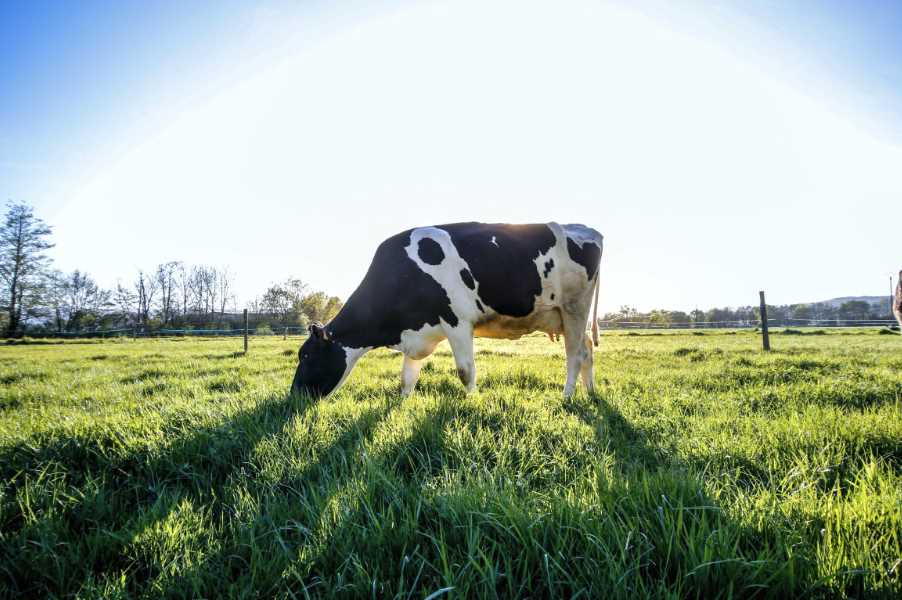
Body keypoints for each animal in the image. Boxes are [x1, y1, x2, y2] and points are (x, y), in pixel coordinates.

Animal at [294, 220, 604, 398]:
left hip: (574, 308)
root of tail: (586, 229)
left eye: (306, 356)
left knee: (575, 355)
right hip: (566, 316)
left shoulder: (457, 321)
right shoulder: (417, 331)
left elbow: (466, 371)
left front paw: (472, 402)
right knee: (587, 349)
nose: (294, 395)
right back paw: (590, 392)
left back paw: (567, 397)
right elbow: (407, 377)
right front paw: (402, 404)